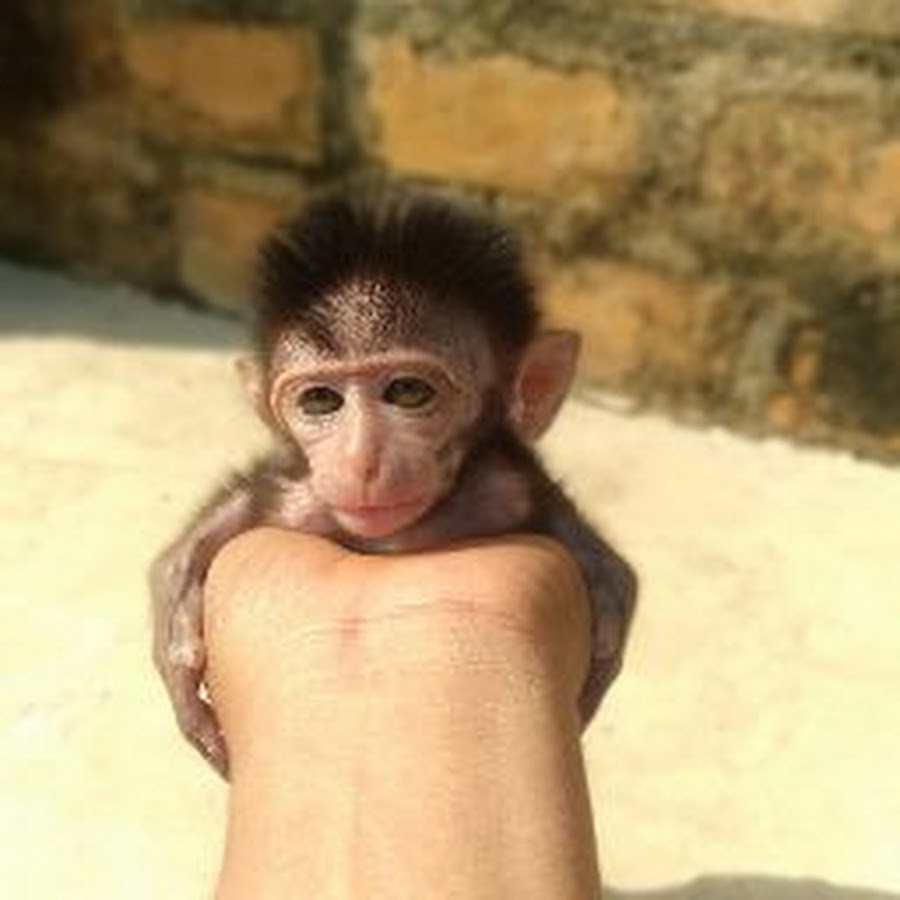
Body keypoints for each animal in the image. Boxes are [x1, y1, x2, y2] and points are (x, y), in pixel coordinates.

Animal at [150, 188, 638, 777]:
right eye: (320, 400)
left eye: (408, 392)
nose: (361, 459)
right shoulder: (296, 496)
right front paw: (176, 619)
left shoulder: (506, 485)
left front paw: (607, 592)